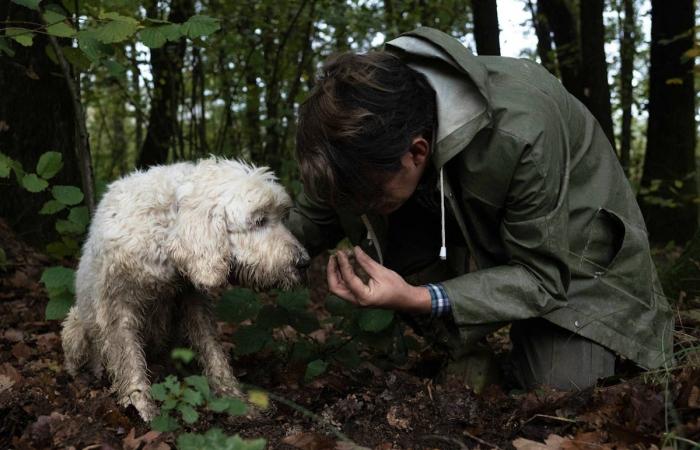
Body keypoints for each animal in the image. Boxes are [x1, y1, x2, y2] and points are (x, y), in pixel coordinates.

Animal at [61, 158, 308, 422]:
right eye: (260, 220)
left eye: (282, 216)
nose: (304, 262)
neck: (164, 227)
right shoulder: (117, 310)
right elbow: (129, 359)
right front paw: (140, 405)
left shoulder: (194, 302)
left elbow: (212, 352)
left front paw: (235, 399)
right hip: (75, 326)